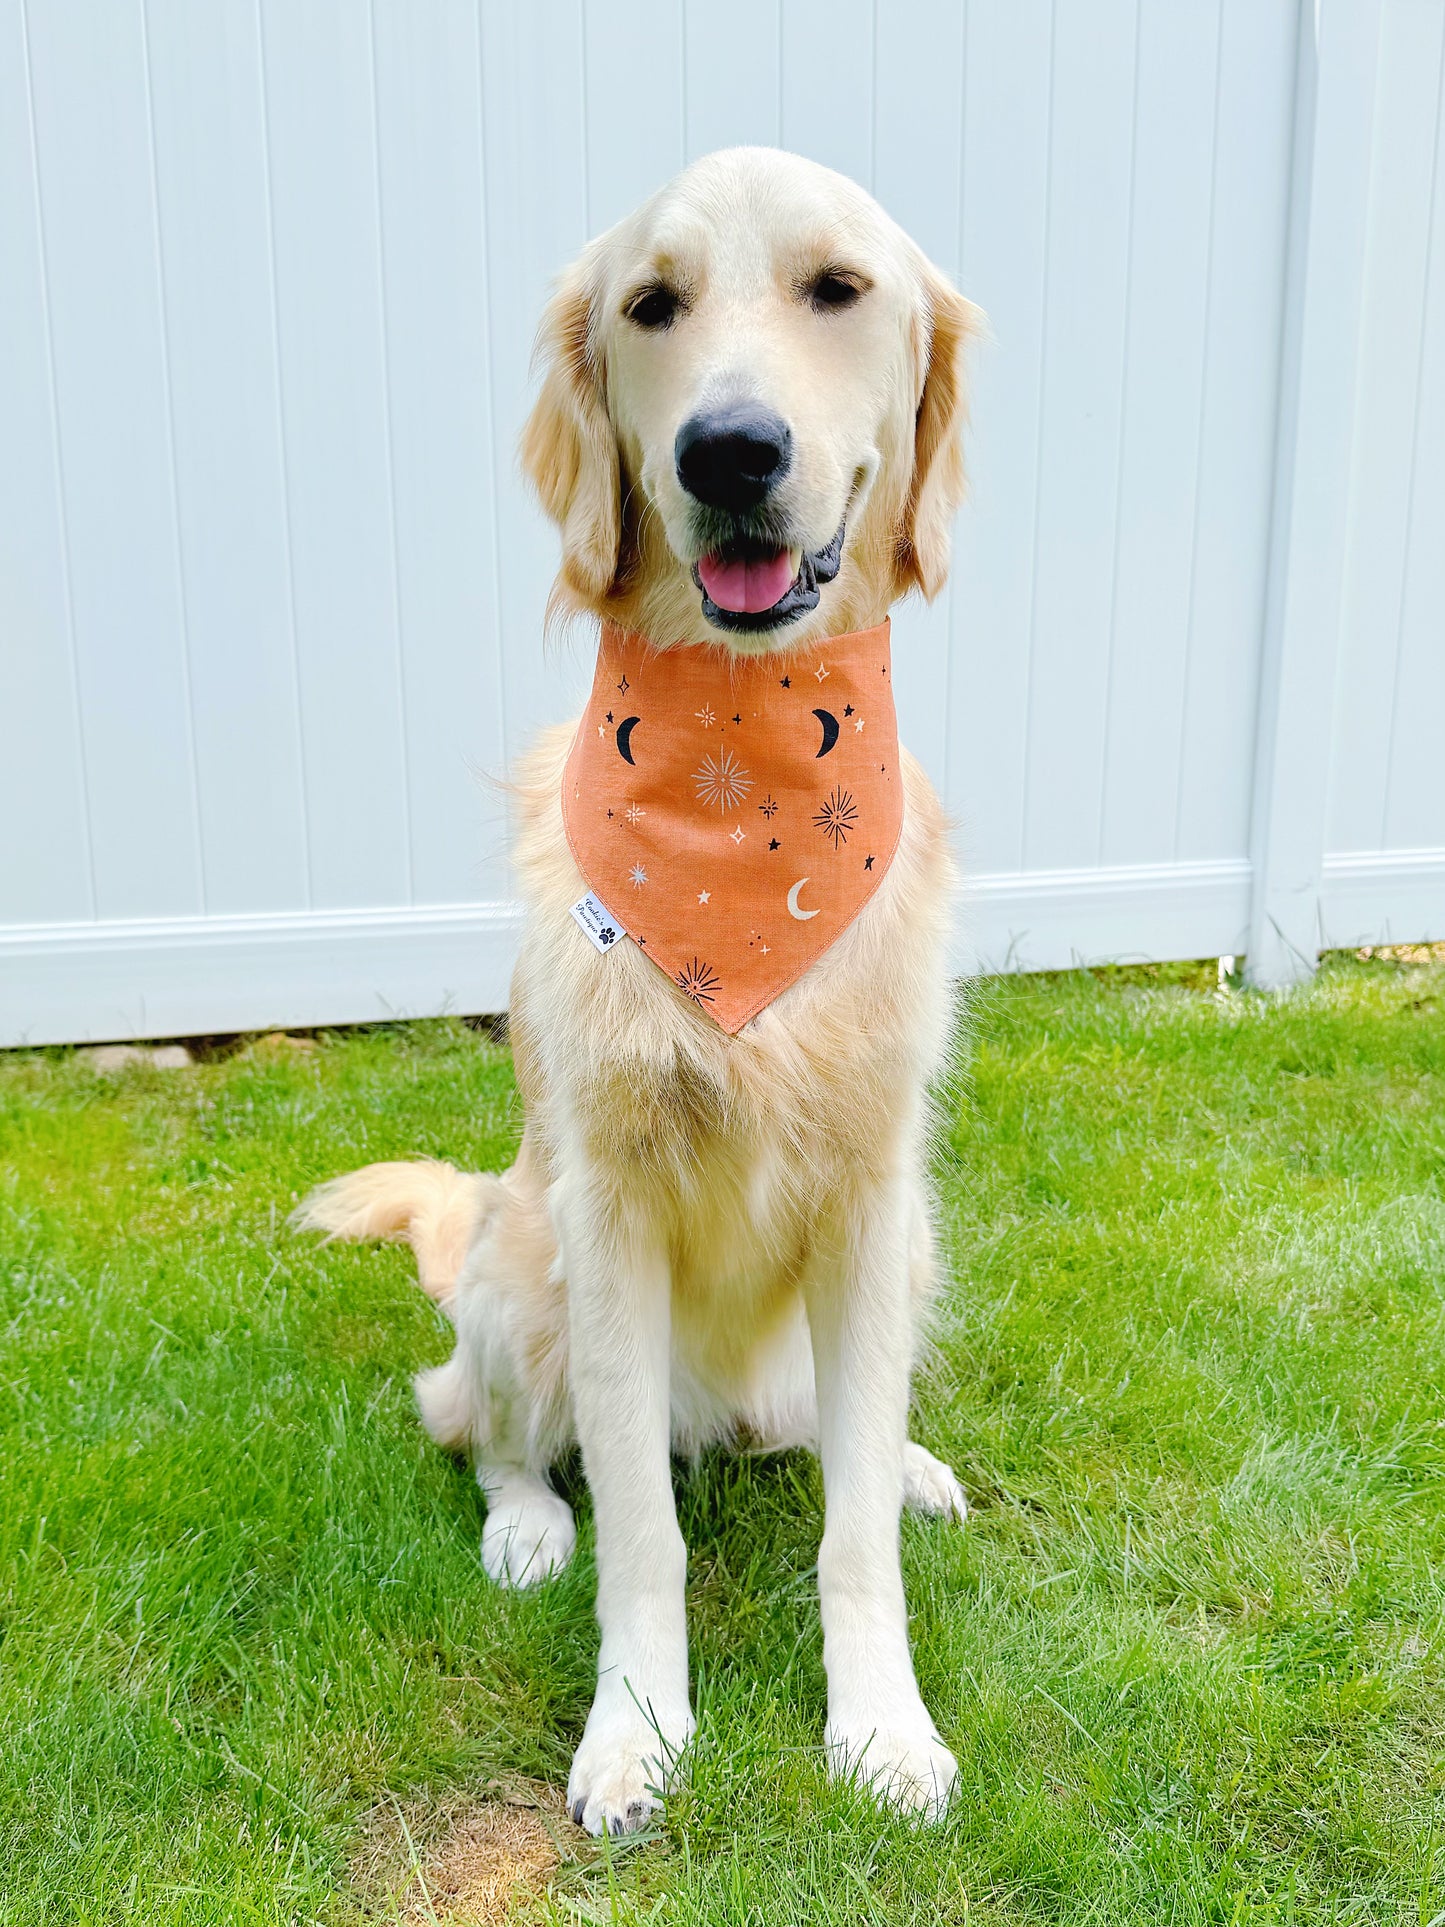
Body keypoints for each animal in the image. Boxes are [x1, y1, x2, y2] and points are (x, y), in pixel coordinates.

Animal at [300, 150, 994, 1834]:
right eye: (651, 305)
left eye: (838, 289)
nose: (730, 450)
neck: (742, 789)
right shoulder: (608, 1218)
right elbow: (641, 1535)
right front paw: (632, 1729)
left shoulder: (872, 1197)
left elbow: (853, 1532)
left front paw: (882, 1727)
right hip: (516, 1262)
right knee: (477, 1426)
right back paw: (521, 1524)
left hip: (900, 1254)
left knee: (838, 1439)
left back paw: (913, 1463)